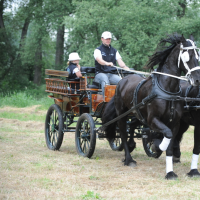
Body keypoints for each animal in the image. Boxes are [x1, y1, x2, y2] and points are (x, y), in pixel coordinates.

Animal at [101, 33, 200, 179]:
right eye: (187, 55)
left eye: (198, 55)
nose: (197, 79)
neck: (166, 89)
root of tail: (122, 81)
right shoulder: (152, 120)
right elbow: (166, 135)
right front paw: (158, 147)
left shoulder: (175, 122)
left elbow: (170, 142)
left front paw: (170, 172)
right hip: (122, 114)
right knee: (123, 134)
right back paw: (129, 159)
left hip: (138, 114)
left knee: (132, 127)